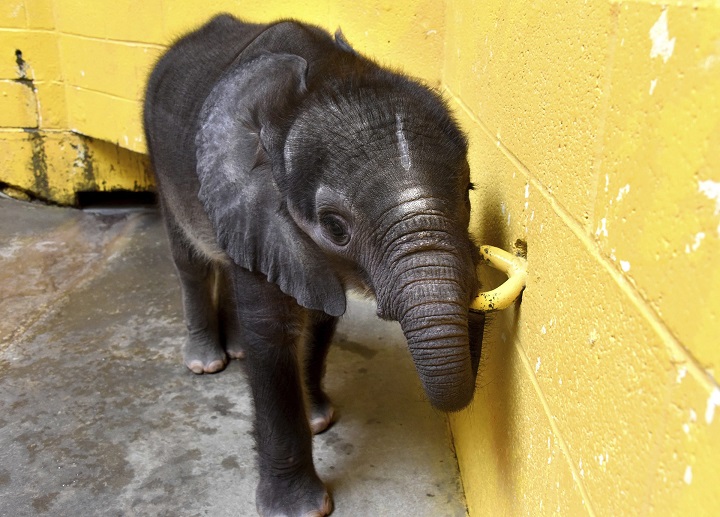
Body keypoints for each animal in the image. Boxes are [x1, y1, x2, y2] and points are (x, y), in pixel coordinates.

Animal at [143, 14, 485, 517]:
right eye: (335, 226)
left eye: (468, 192)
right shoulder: (261, 207)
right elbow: (273, 335)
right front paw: (301, 509)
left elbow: (323, 317)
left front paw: (320, 419)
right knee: (192, 262)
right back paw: (207, 363)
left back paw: (235, 351)